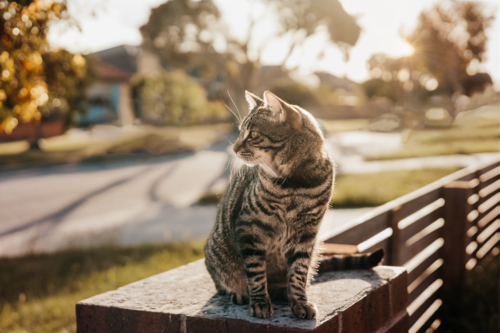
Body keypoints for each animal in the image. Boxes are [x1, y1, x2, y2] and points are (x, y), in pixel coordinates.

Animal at [203, 91, 382, 320]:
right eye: (241, 133)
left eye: (252, 134)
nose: (233, 149)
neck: (294, 184)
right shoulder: (250, 229)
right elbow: (255, 271)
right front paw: (259, 301)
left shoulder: (307, 234)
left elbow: (299, 272)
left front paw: (299, 301)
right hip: (218, 251)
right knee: (225, 284)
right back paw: (241, 293)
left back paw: (282, 291)